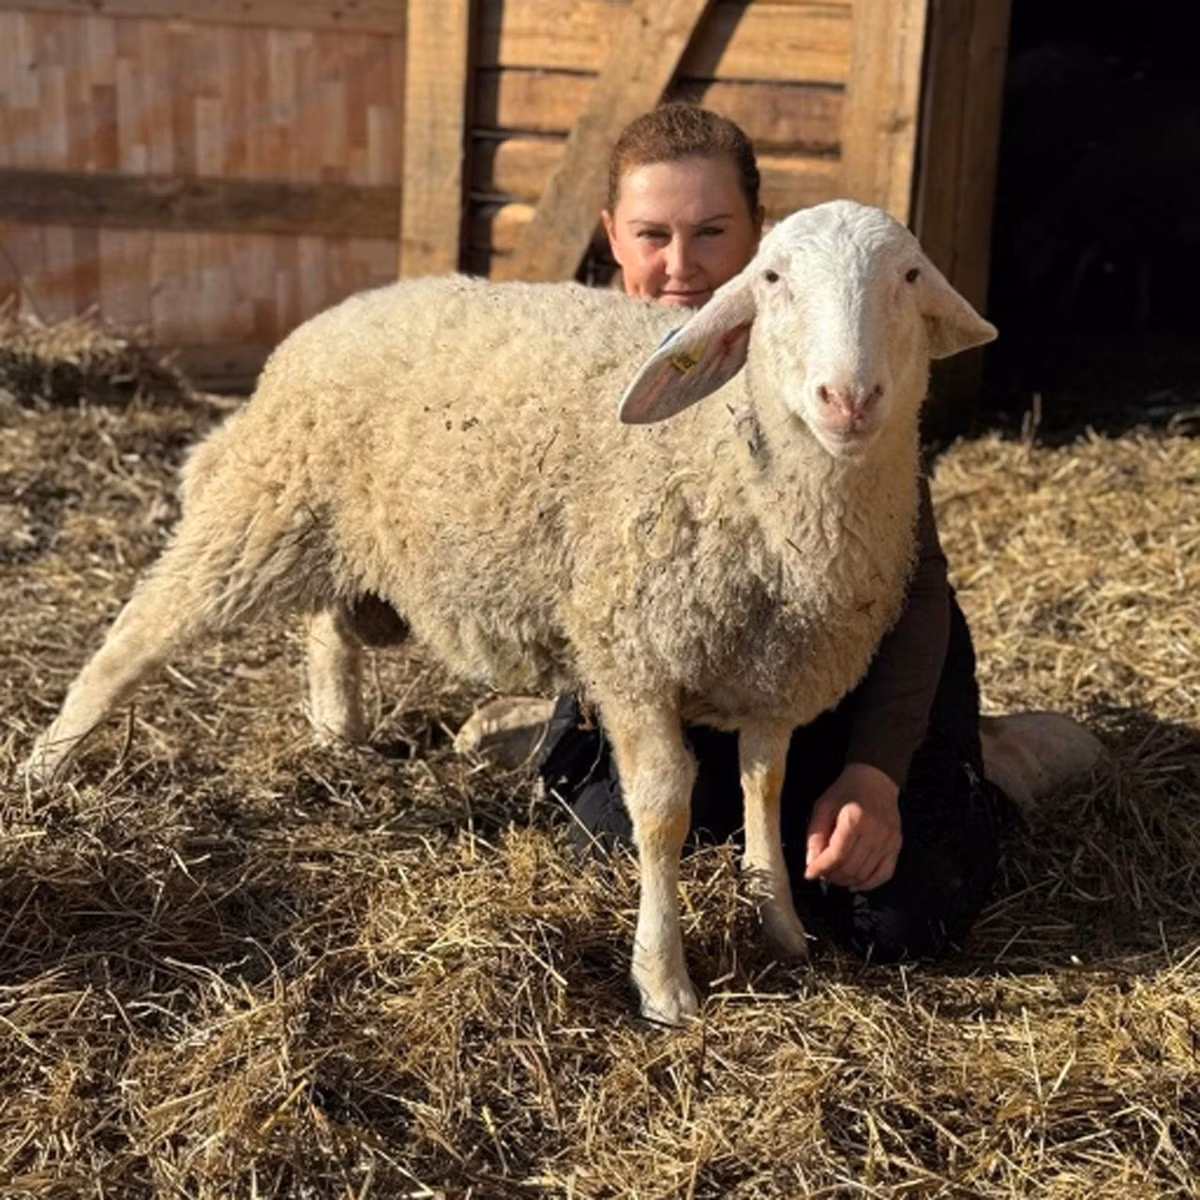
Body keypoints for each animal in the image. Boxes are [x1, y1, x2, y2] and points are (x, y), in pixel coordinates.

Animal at [24, 200, 996, 1025]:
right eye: (772, 278)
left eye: (910, 276)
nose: (849, 399)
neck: (737, 459)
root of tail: (331, 315)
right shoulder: (629, 654)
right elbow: (663, 810)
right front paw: (665, 983)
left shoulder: (774, 675)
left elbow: (767, 789)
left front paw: (780, 923)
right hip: (262, 504)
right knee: (134, 637)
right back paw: (45, 768)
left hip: (347, 534)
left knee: (329, 624)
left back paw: (338, 730)